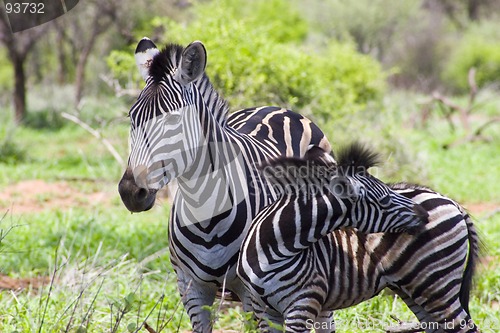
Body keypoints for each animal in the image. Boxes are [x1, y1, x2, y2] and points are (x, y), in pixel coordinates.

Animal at [117, 37, 338, 330]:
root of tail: (279, 109)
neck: (205, 211)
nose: (130, 192)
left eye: (174, 120)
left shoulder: (251, 292)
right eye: (132, 117)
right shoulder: (190, 288)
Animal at [237, 144, 480, 330]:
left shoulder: (303, 303)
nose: (424, 216)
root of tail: (451, 201)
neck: (270, 248)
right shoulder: (262, 309)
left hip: (438, 285)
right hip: (417, 290)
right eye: (384, 200)